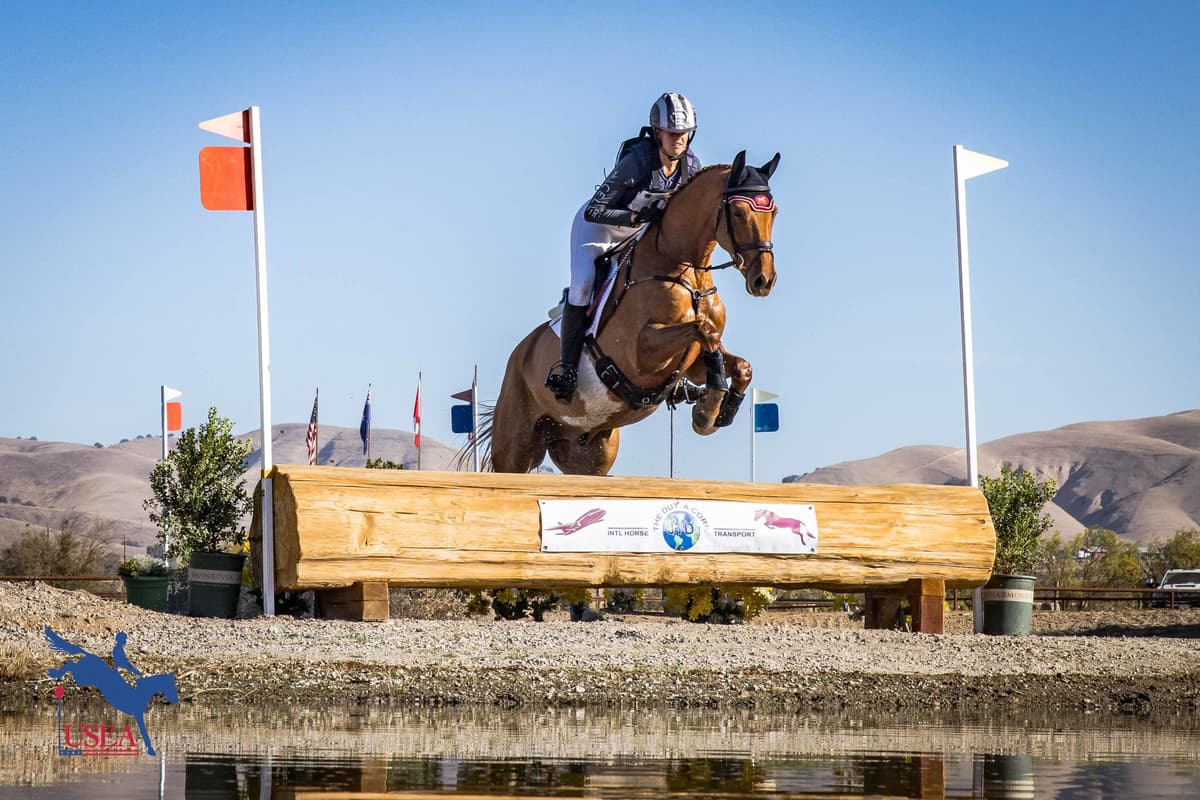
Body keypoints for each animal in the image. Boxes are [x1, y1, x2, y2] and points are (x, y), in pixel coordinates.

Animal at [488, 150, 780, 475]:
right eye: (739, 213)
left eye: (774, 213)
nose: (764, 280)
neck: (684, 272)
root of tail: (519, 354)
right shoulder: (640, 356)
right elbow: (703, 330)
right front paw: (708, 409)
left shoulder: (691, 364)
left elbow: (739, 364)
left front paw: (717, 412)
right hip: (514, 447)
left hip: (587, 451)